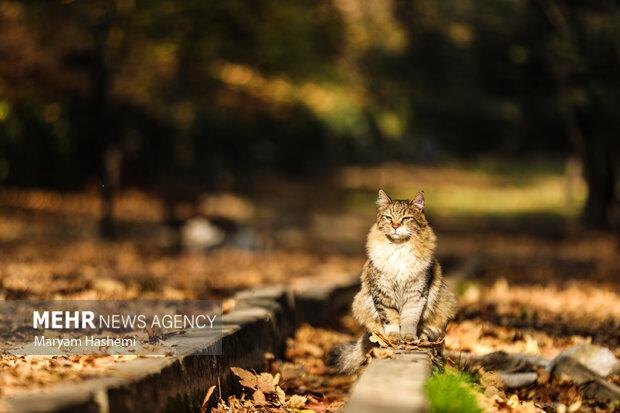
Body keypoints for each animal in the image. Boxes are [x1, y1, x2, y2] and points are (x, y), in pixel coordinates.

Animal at [330, 190, 456, 374]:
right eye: (388, 217)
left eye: (406, 218)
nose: (396, 226)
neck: (399, 248)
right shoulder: (382, 292)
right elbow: (391, 318)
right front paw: (394, 337)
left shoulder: (416, 294)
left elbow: (409, 319)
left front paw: (409, 337)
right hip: (359, 303)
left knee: (431, 333)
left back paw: (421, 336)